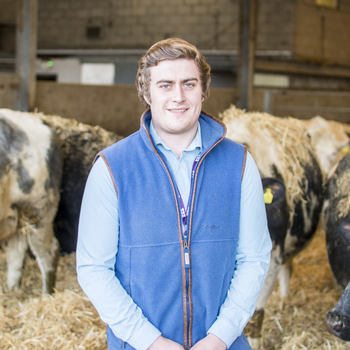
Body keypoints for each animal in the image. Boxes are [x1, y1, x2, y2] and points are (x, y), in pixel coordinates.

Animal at [0, 108, 61, 294]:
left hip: (39, 206)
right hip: (14, 212)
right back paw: (12, 289)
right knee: (16, 248)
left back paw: (46, 295)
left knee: (48, 251)